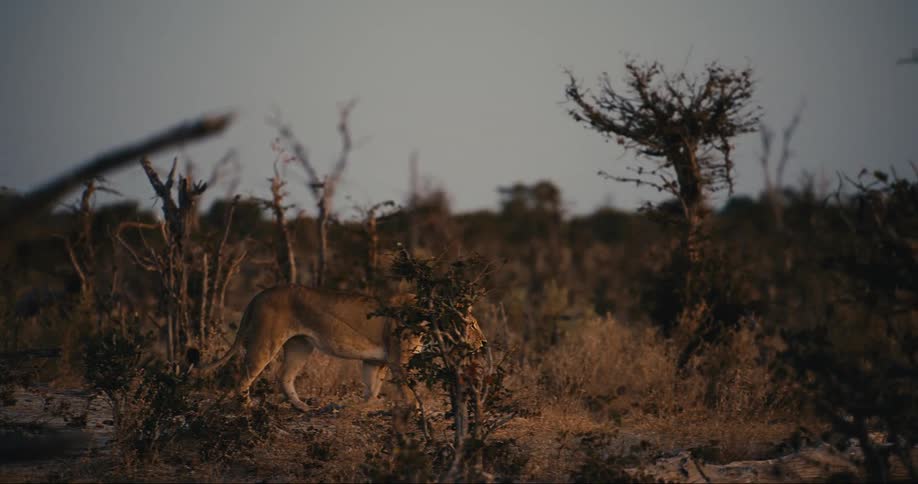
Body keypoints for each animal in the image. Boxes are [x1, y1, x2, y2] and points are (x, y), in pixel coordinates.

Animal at [197, 284, 483, 413]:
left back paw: (304, 408)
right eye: (472, 325)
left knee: (284, 377)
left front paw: (366, 407)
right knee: (243, 378)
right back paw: (247, 407)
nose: (484, 343)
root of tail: (259, 294)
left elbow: (372, 387)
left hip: (300, 346)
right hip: (266, 342)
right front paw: (414, 409)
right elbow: (409, 390)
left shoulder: (375, 361)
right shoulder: (398, 359)